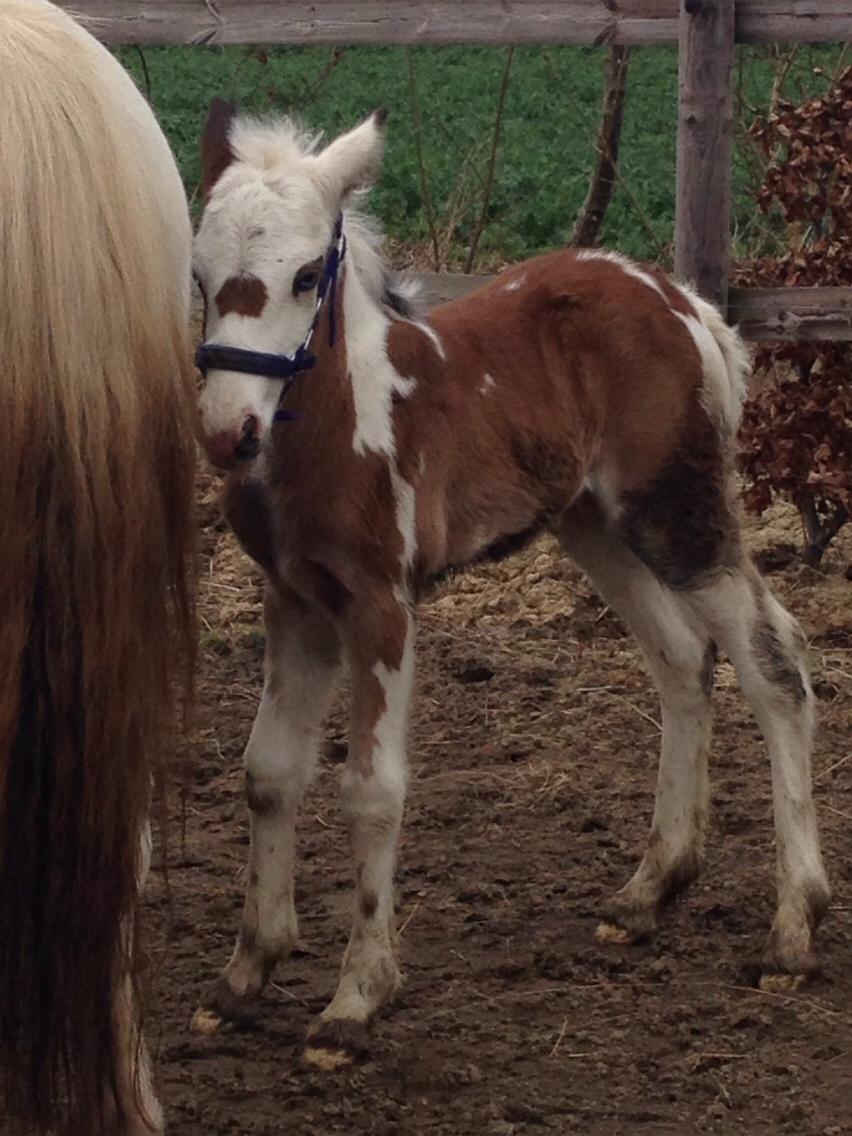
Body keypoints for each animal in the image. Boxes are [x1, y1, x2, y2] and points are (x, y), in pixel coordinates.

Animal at [193, 104, 836, 1063]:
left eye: (307, 275)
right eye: (199, 272)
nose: (227, 431)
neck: (338, 426)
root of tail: (684, 303)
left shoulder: (381, 604)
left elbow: (371, 791)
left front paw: (355, 1001)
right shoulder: (294, 599)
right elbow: (268, 772)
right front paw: (244, 978)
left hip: (677, 515)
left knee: (773, 661)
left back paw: (792, 929)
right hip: (593, 522)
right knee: (681, 660)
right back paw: (650, 887)